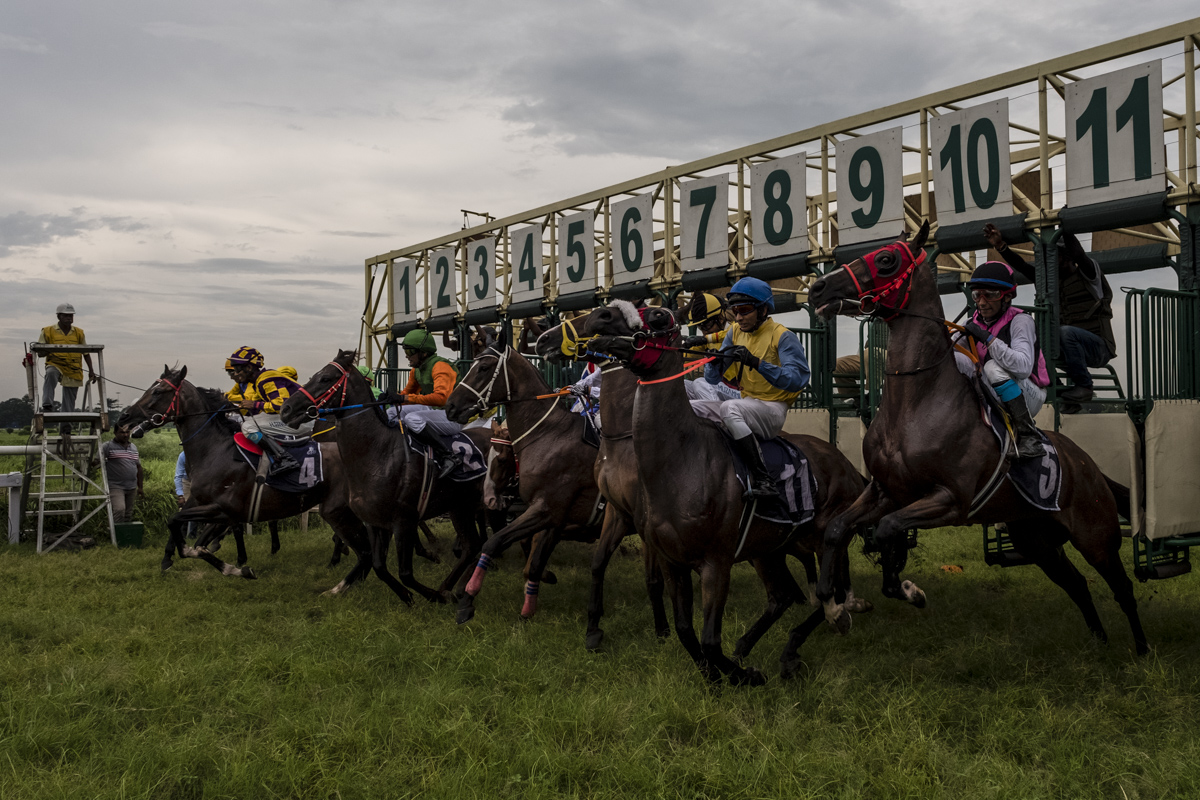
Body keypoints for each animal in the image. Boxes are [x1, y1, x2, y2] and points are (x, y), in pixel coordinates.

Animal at [115, 367, 379, 594]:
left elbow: (187, 533)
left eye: (158, 391)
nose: (124, 416)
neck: (214, 450)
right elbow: (181, 528)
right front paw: (170, 559)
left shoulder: (224, 509)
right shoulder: (199, 501)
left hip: (340, 509)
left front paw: (236, 567)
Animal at [277, 347, 492, 604]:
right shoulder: (374, 521)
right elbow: (380, 567)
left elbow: (406, 573)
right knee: (472, 546)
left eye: (326, 378)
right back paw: (452, 588)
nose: (286, 409)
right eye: (314, 376)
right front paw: (408, 597)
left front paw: (430, 595)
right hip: (460, 506)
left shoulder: (403, 521)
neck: (378, 453)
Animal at [444, 345, 604, 623]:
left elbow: (494, 542)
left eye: (483, 368)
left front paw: (467, 598)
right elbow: (532, 559)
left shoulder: (546, 509)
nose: (451, 406)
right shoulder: (551, 517)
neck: (550, 435)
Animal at [585, 303, 868, 686]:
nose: (598, 317)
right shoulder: (673, 561)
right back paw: (753, 645)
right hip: (767, 548)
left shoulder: (715, 563)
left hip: (822, 538)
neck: (682, 460)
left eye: (658, 314)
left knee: (827, 593)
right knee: (782, 597)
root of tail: (848, 466)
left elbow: (710, 640)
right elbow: (686, 630)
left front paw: (743, 676)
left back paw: (813, 633)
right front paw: (715, 679)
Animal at [801, 221, 1147, 652]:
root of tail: (1088, 464)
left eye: (885, 259)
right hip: (1035, 539)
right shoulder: (886, 491)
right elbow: (837, 530)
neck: (916, 403)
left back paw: (1141, 649)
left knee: (1122, 587)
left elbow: (887, 530)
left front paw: (908, 590)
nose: (818, 289)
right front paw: (835, 607)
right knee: (1077, 584)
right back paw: (1099, 641)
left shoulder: (951, 500)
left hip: (1095, 534)